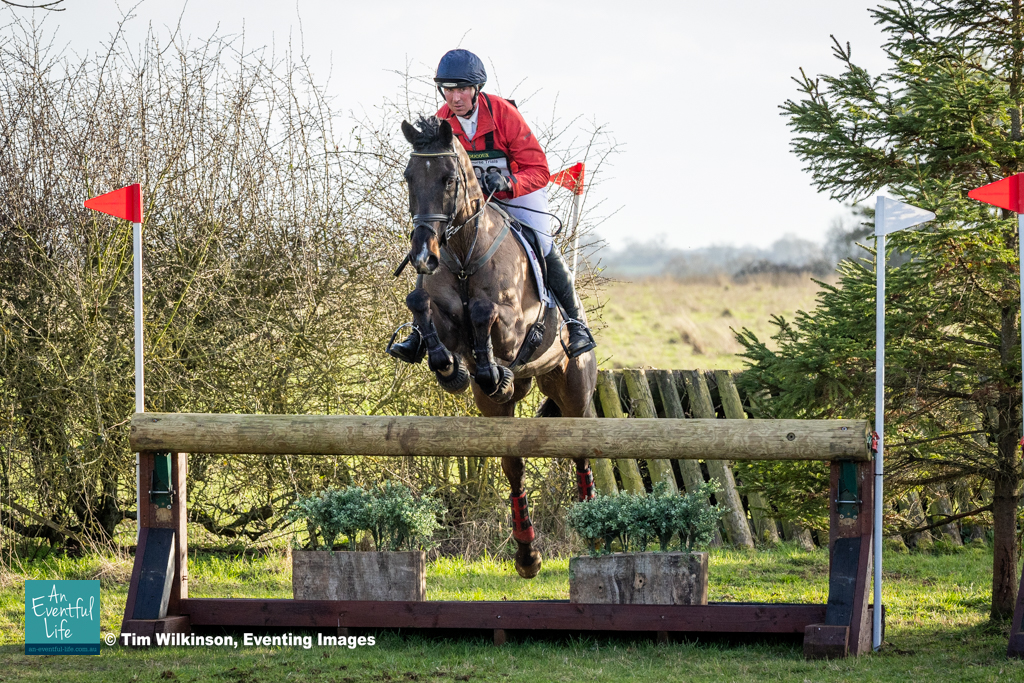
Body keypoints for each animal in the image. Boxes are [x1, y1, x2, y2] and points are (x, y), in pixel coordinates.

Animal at [397, 116, 598, 579]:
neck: (462, 252)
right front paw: (449, 368)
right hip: (499, 408)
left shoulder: (516, 324)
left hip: (574, 389)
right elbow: (421, 305)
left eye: (449, 179)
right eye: (409, 177)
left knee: (580, 453)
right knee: (513, 465)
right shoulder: (442, 311)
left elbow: (483, 310)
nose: (422, 257)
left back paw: (594, 526)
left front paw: (481, 362)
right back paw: (527, 554)